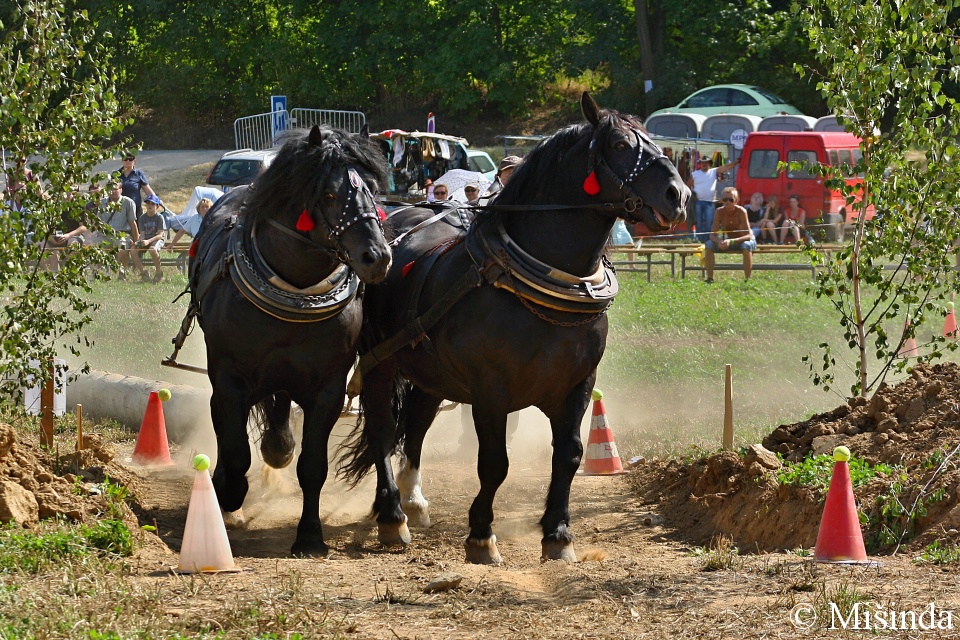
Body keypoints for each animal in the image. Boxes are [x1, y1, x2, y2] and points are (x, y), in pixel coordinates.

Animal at [340, 92, 688, 564]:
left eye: (652, 139)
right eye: (619, 144)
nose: (679, 194)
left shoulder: (578, 384)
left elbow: (569, 456)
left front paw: (558, 534)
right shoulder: (491, 391)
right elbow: (494, 464)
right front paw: (481, 536)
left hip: (429, 372)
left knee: (416, 425)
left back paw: (413, 500)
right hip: (381, 360)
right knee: (380, 427)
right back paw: (392, 515)